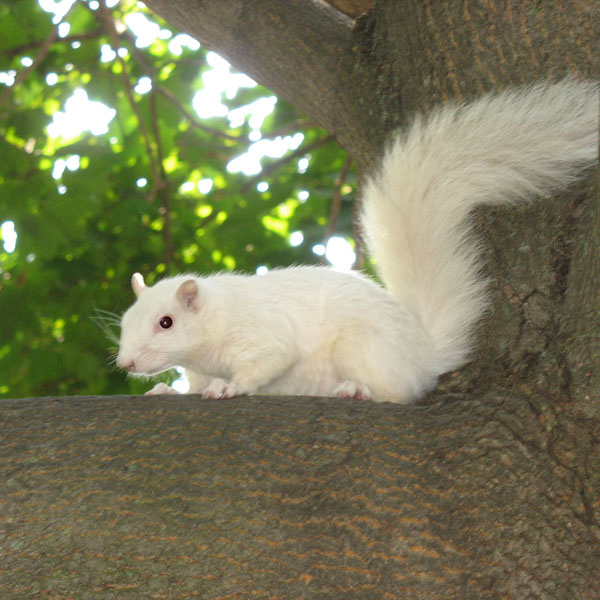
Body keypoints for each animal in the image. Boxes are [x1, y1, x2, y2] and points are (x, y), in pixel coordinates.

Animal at [115, 77, 596, 400]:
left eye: (166, 322)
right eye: (125, 320)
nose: (126, 363)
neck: (213, 329)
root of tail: (422, 356)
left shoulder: (264, 334)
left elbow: (269, 362)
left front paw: (231, 387)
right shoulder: (198, 366)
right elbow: (194, 384)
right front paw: (170, 391)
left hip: (361, 348)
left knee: (396, 394)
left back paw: (357, 391)